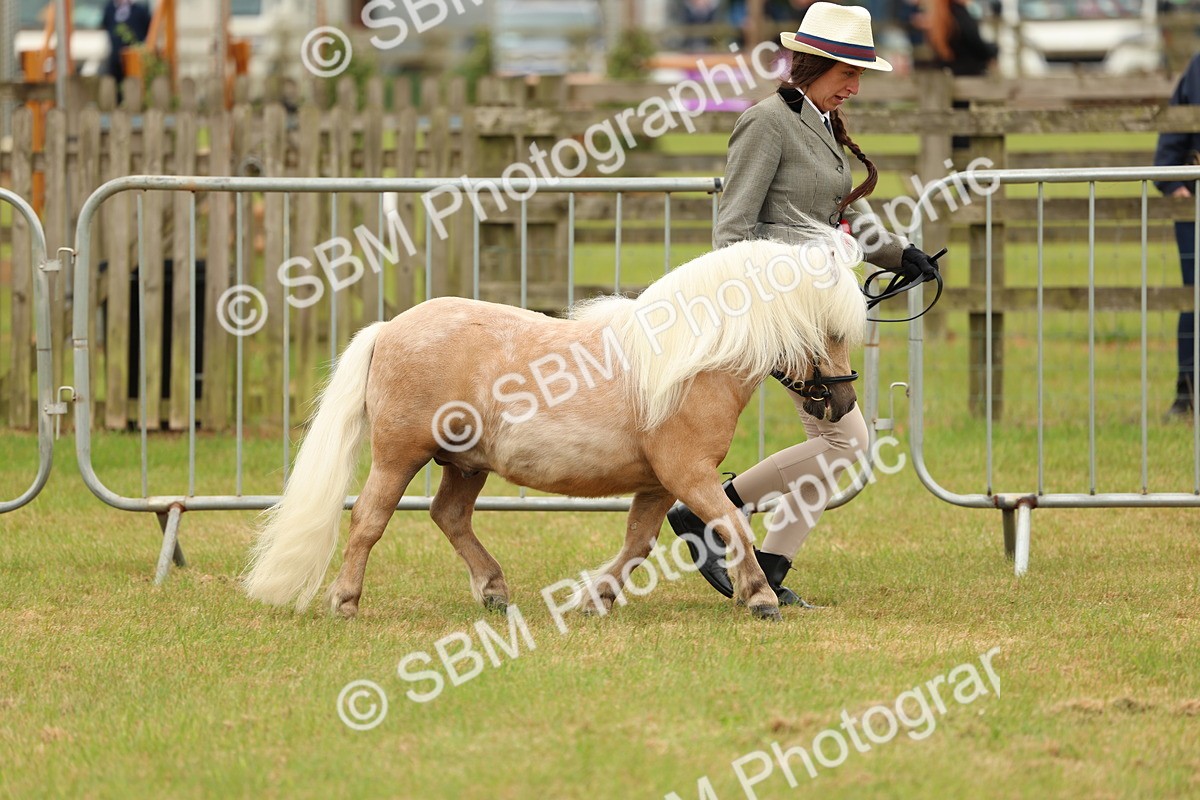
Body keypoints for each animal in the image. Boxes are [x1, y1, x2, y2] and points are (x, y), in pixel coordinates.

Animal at [242, 217, 867, 621]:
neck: (689, 362)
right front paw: (761, 597)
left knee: (449, 516)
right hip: (399, 456)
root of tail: (388, 329)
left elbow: (639, 544)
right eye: (831, 330)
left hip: (466, 464)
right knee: (369, 520)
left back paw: (494, 590)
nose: (840, 405)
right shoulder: (688, 473)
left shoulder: (658, 483)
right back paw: (345, 601)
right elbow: (733, 524)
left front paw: (596, 600)